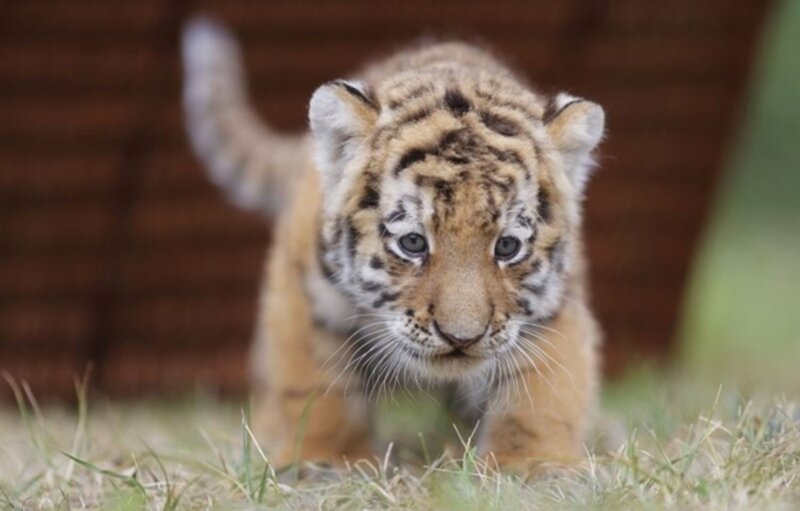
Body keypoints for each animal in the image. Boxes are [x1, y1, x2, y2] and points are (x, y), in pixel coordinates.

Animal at [182, 16, 604, 474]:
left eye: (507, 247)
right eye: (413, 243)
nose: (461, 338)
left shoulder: (553, 304)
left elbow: (543, 392)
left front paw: (530, 465)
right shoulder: (304, 292)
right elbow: (315, 385)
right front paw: (326, 460)